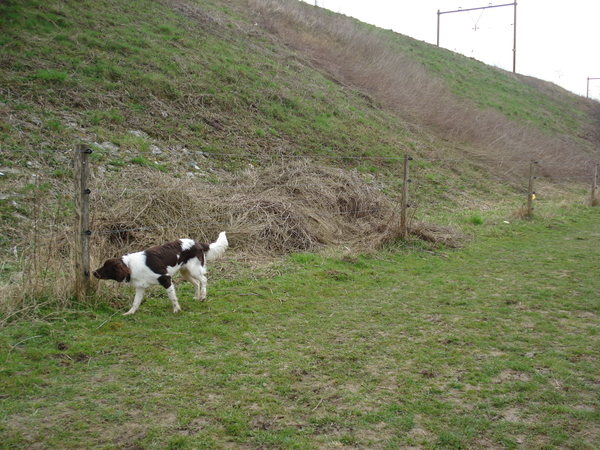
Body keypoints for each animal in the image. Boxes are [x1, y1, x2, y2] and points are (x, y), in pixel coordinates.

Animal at [95, 232, 229, 316]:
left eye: (106, 269)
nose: (93, 272)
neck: (130, 266)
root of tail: (197, 243)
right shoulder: (140, 287)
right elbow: (136, 302)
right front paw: (130, 313)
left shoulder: (166, 278)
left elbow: (172, 297)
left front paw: (176, 309)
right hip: (185, 272)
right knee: (196, 282)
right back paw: (196, 296)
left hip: (194, 269)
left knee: (204, 280)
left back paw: (202, 296)